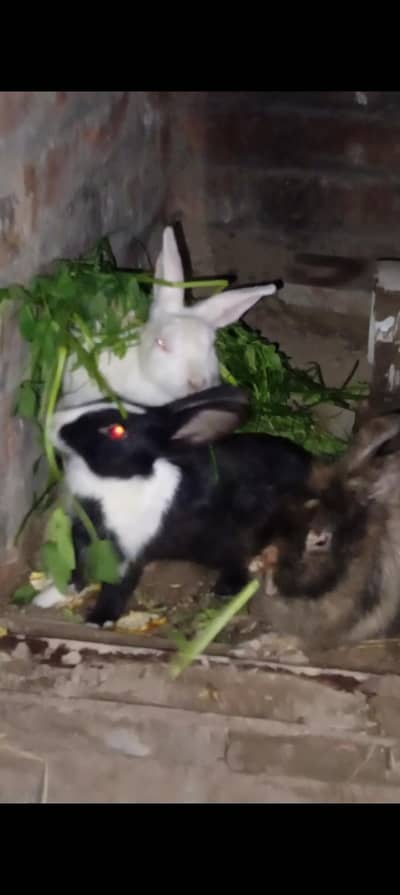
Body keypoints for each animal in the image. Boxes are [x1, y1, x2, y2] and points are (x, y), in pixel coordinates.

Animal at [45, 385, 313, 626]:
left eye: (117, 431)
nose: (53, 424)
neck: (116, 480)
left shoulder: (126, 552)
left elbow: (115, 588)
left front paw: (98, 620)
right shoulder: (81, 534)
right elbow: (75, 569)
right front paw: (50, 596)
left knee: (241, 556)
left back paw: (226, 589)